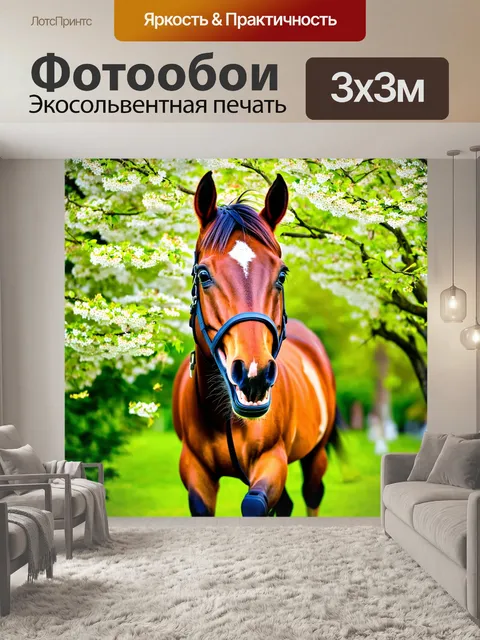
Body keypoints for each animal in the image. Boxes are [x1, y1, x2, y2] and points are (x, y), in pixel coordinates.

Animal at [172, 171, 338, 517]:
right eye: (203, 275)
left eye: (282, 275)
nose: (253, 375)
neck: (223, 414)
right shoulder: (195, 473)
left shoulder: (272, 461)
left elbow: (254, 505)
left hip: (315, 454)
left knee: (311, 494)